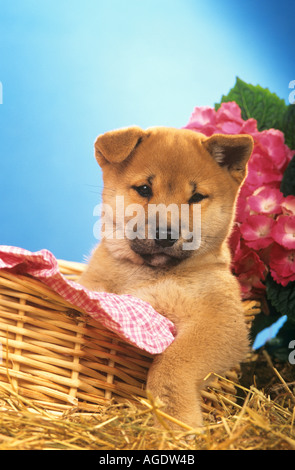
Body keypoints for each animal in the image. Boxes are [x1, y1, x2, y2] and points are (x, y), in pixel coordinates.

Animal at [80, 126, 256, 430]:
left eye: (196, 197)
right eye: (144, 189)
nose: (165, 234)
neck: (148, 274)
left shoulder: (221, 322)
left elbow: (172, 363)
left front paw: (177, 422)